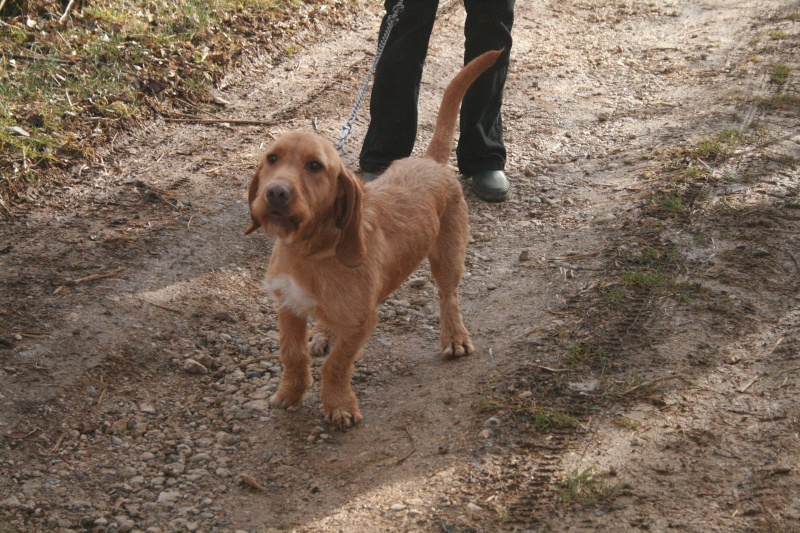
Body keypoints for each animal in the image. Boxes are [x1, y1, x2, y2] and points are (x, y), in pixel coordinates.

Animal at [247, 50, 504, 428]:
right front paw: (290, 394)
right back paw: (323, 332)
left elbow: (336, 366)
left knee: (449, 296)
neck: (309, 252)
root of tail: (430, 162)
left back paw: (455, 336)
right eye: (272, 158)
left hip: (449, 255)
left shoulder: (361, 322)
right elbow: (292, 355)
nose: (276, 192)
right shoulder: (288, 305)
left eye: (315, 166)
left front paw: (339, 405)